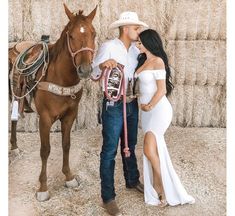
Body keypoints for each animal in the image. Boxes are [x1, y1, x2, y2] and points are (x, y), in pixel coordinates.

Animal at [8, 3, 97, 202]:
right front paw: (43, 188)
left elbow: (66, 144)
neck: (61, 77)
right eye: (71, 35)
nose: (85, 70)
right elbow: (45, 150)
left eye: (93, 33)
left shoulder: (70, 116)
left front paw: (69, 177)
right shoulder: (45, 118)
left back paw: (15, 148)